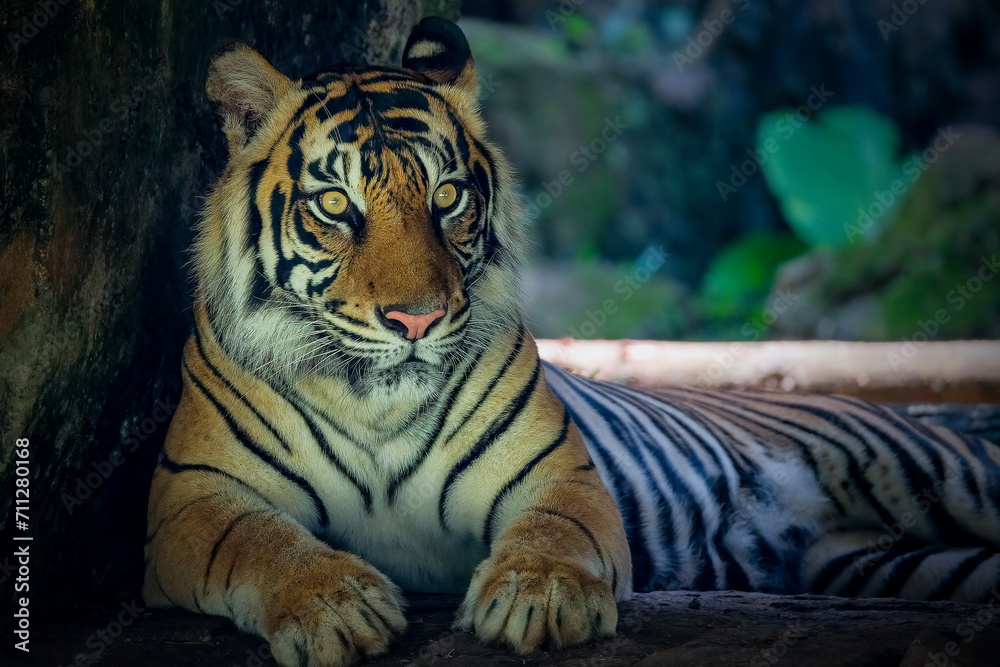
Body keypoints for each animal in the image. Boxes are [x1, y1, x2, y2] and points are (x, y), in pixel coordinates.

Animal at [146, 14, 1000, 667]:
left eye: (447, 197)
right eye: (334, 205)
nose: (416, 320)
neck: (373, 404)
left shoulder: (558, 469)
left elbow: (555, 528)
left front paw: (539, 595)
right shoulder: (189, 499)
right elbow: (261, 538)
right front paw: (334, 605)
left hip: (941, 472)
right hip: (890, 558)